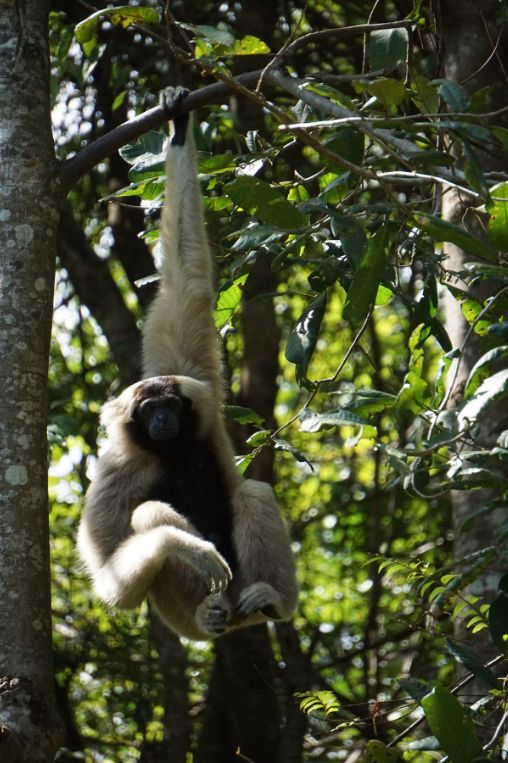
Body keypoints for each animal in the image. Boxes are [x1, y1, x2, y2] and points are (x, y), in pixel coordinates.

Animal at [77, 87, 298, 640]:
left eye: (172, 404)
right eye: (146, 409)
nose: (161, 419)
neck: (170, 450)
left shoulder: (198, 382)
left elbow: (185, 283)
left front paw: (177, 129)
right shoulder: (114, 473)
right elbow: (113, 585)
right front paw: (184, 546)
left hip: (243, 588)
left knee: (253, 492)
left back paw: (272, 601)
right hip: (182, 616)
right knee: (149, 516)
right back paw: (207, 608)